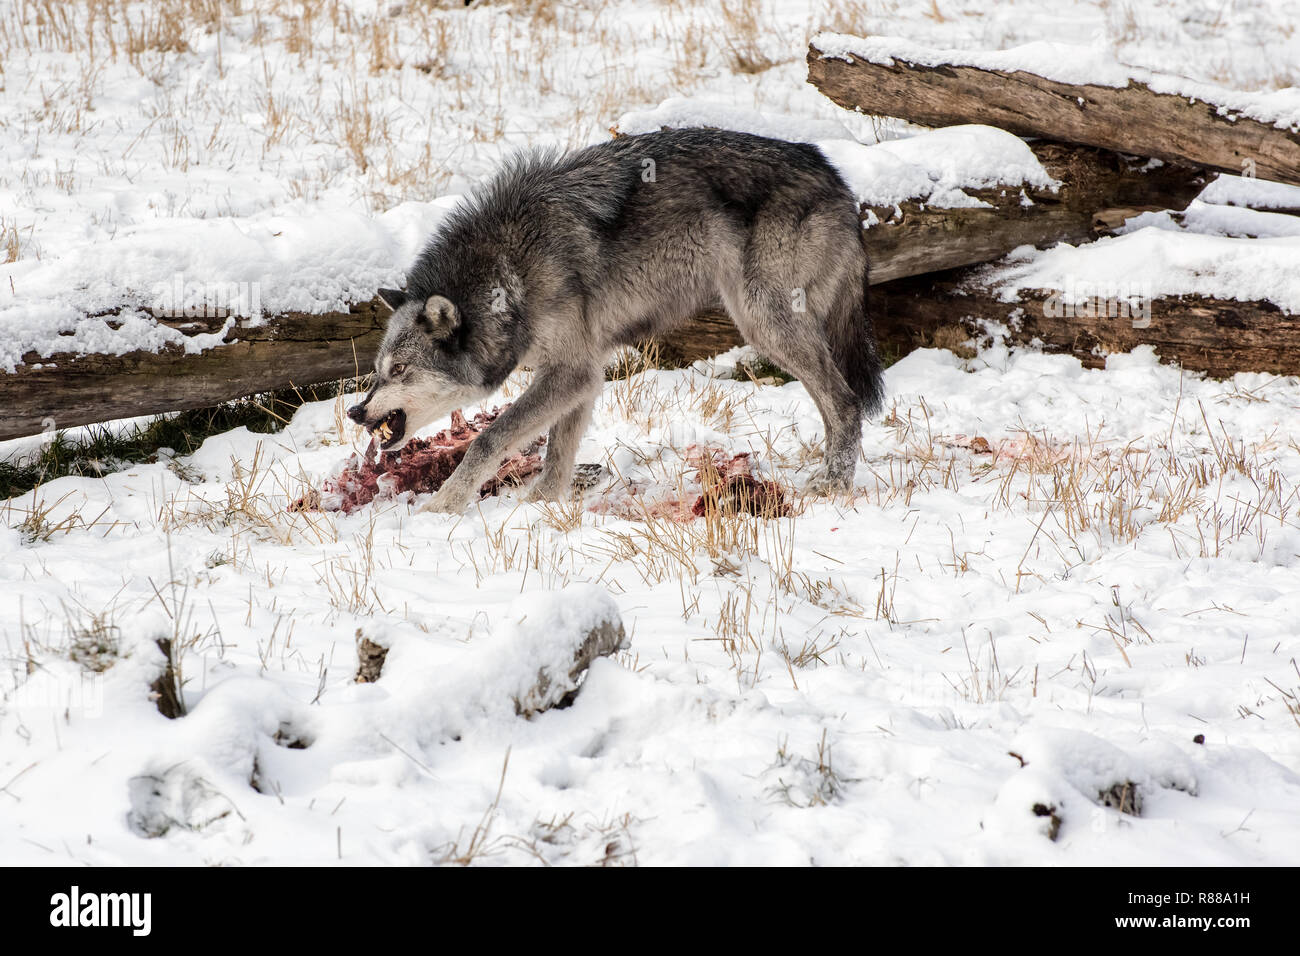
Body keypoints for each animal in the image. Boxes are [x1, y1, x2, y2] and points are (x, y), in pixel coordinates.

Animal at [345, 130, 883, 515]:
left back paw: (832, 483)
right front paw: (541, 506)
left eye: (398, 371)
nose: (354, 411)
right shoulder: (580, 374)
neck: (509, 272)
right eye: (377, 371)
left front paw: (443, 506)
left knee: (846, 401)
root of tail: (834, 175)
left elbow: (489, 438)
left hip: (764, 323)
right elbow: (557, 453)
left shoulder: (571, 371)